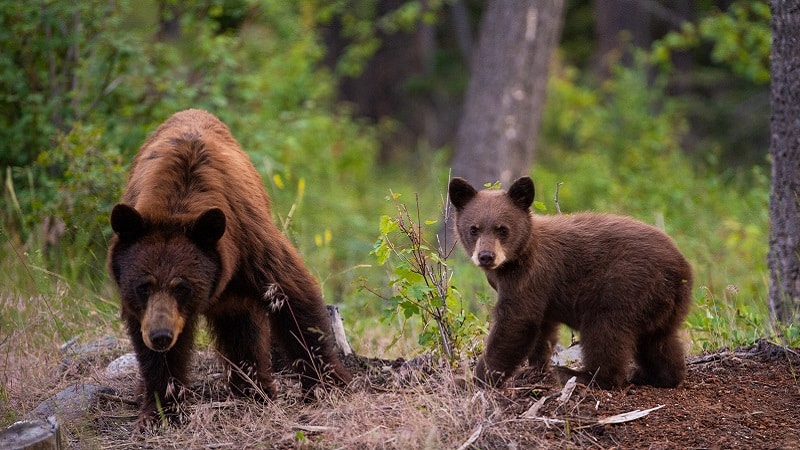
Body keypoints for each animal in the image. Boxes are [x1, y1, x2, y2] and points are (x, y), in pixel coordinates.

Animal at [108, 109, 350, 426]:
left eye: (182, 286)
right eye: (143, 286)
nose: (161, 336)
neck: (177, 204)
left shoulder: (249, 242)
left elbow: (292, 297)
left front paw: (328, 384)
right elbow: (153, 354)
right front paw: (162, 408)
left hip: (236, 293)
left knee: (242, 330)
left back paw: (254, 389)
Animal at [446, 178, 692, 388]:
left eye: (502, 229)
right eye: (474, 229)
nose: (486, 256)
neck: (517, 257)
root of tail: (681, 270)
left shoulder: (530, 277)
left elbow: (516, 323)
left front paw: (474, 380)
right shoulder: (540, 291)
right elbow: (542, 328)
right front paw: (533, 369)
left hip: (624, 285)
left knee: (605, 331)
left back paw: (581, 375)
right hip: (661, 305)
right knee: (658, 341)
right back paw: (657, 376)